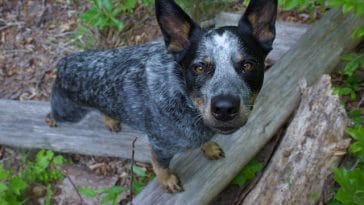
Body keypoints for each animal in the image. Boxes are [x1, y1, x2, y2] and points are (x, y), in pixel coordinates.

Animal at [47, 0, 278, 192]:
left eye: (248, 65)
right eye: (199, 67)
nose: (224, 108)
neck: (183, 99)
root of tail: (64, 62)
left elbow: (205, 141)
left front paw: (209, 147)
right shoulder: (160, 146)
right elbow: (161, 167)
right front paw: (167, 181)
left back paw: (110, 120)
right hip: (69, 112)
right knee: (53, 112)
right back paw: (50, 120)